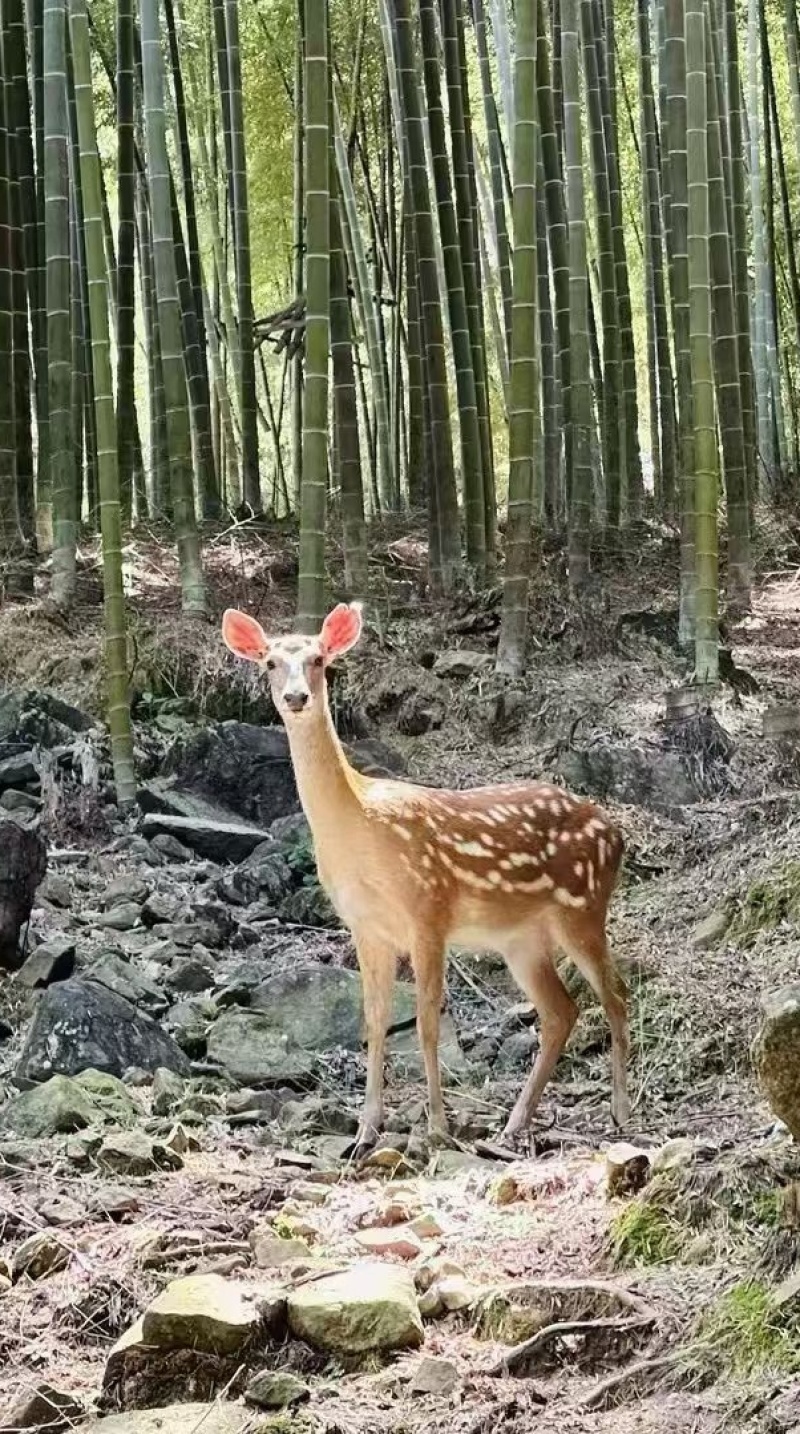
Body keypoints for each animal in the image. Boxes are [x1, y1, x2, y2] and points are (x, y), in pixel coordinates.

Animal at [222, 601, 630, 1154]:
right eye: (269, 662)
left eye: (319, 659)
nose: (296, 697)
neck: (360, 828)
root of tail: (616, 833)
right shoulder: (367, 926)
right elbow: (373, 1022)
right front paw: (366, 1130)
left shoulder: (429, 909)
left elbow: (427, 1024)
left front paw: (437, 1127)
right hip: (521, 937)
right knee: (560, 1012)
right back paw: (514, 1122)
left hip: (582, 907)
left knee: (616, 997)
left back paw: (621, 1112)